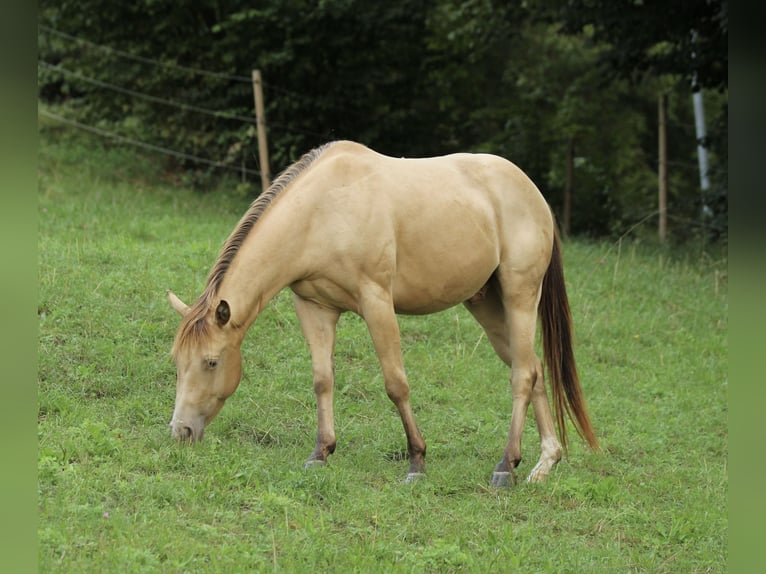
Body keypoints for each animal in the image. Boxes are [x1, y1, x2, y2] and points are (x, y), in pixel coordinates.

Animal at [167, 140, 598, 486]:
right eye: (177, 362)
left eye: (211, 362)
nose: (181, 431)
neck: (322, 210)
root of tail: (533, 193)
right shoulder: (314, 308)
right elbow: (322, 380)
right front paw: (320, 453)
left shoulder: (376, 303)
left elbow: (396, 384)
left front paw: (417, 463)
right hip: (488, 306)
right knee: (533, 368)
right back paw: (544, 464)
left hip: (519, 296)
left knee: (522, 375)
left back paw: (506, 466)